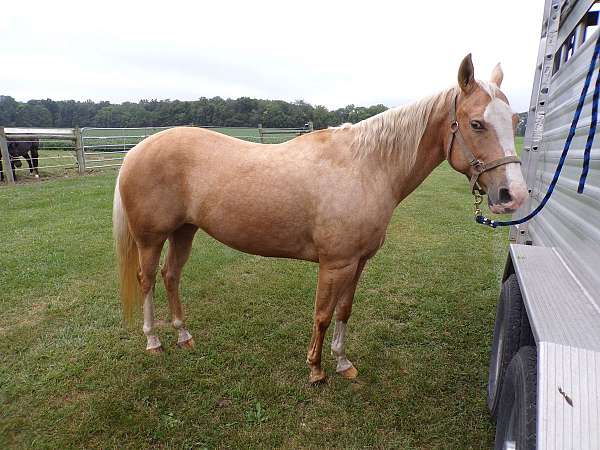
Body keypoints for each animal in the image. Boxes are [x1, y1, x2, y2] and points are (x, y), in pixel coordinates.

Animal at [112, 55, 524, 384]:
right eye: (476, 124)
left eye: (515, 120)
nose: (513, 194)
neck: (367, 166)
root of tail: (136, 149)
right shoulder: (335, 263)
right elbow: (323, 315)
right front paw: (316, 369)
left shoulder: (357, 263)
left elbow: (344, 311)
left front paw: (343, 363)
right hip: (151, 238)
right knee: (147, 279)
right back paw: (153, 341)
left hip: (184, 231)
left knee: (171, 275)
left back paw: (184, 336)